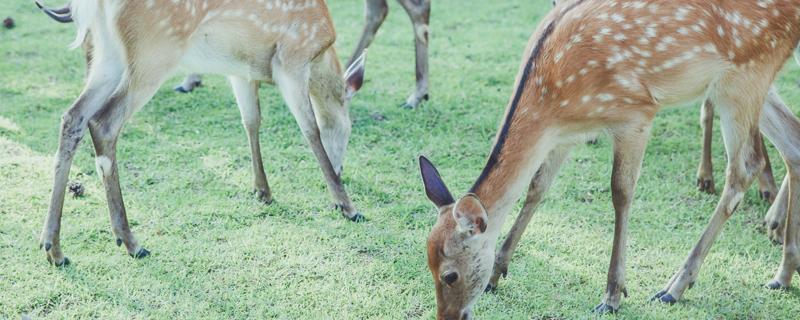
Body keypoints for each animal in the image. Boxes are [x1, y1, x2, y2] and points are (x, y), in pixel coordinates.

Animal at [41, 0, 368, 266]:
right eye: (348, 130)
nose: (340, 168)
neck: (320, 52)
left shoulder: (242, 71)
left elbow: (251, 120)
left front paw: (262, 190)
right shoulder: (292, 58)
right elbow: (310, 129)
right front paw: (348, 206)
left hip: (108, 52)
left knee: (73, 117)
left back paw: (54, 249)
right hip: (156, 49)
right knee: (104, 122)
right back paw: (132, 242)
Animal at [418, 0, 800, 318]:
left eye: (450, 275)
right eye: (427, 264)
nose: (447, 317)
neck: (553, 101)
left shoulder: (635, 114)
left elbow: (620, 193)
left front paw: (613, 294)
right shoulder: (563, 136)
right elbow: (537, 188)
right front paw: (499, 270)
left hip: (744, 74)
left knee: (744, 168)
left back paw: (676, 286)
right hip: (751, 80)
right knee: (792, 142)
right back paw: (782, 274)